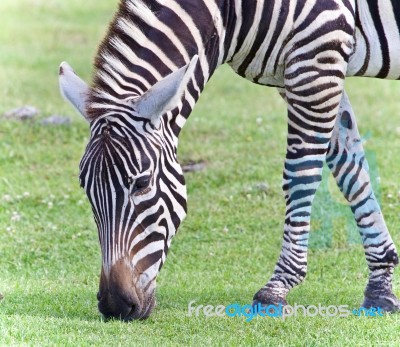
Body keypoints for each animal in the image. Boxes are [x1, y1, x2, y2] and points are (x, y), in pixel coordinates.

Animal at [59, 0, 400, 320]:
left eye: (142, 183)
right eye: (85, 188)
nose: (115, 306)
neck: (232, 13)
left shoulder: (316, 60)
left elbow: (300, 175)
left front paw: (278, 287)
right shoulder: (299, 72)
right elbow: (350, 169)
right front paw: (380, 287)